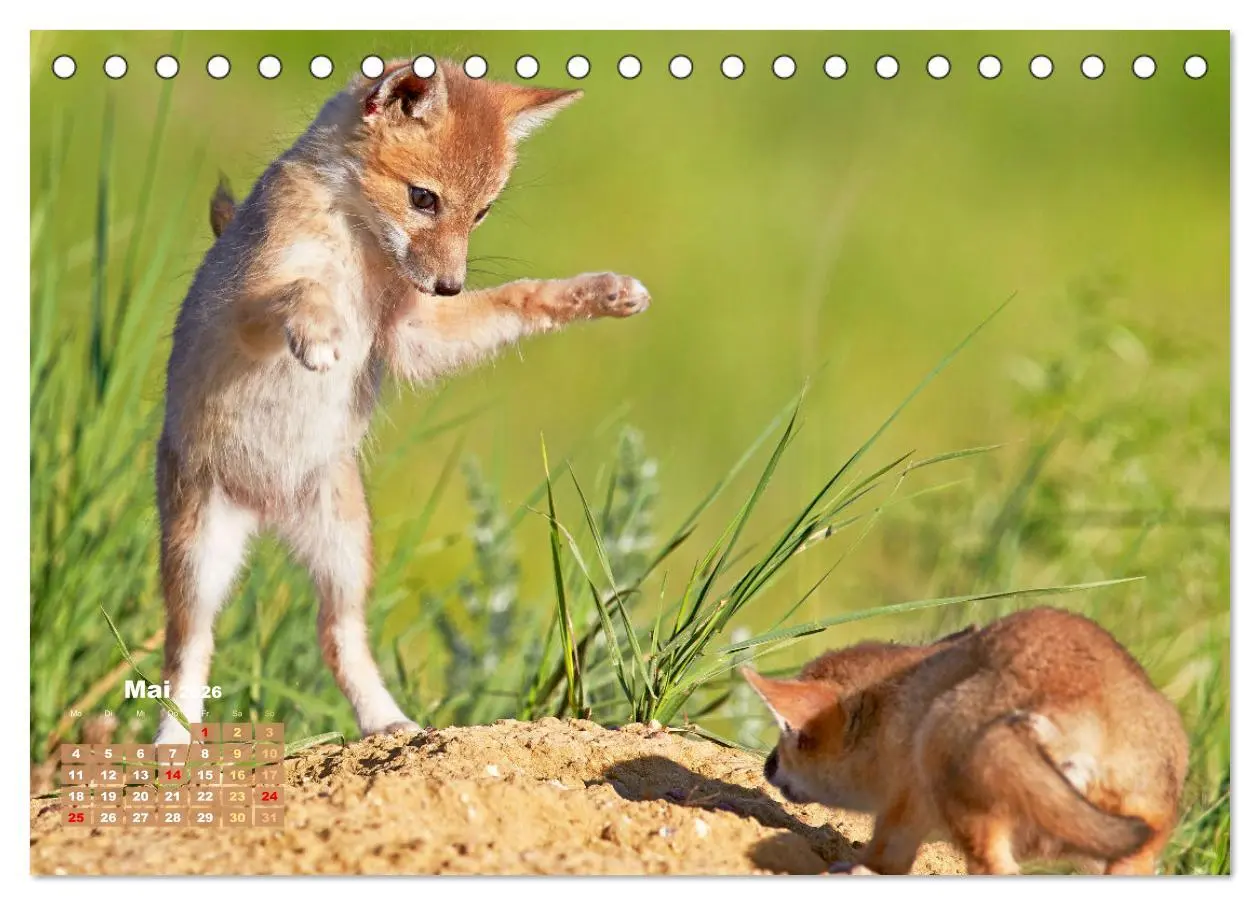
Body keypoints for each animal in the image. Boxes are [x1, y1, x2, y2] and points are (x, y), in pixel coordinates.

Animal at [154, 57, 650, 745]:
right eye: (424, 198)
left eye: (481, 213)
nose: (449, 285)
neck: (356, 248)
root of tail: (266, 509)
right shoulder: (243, 309)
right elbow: (302, 289)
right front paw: (319, 330)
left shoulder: (413, 336)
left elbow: (517, 296)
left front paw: (600, 292)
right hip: (199, 563)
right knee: (188, 653)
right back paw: (170, 746)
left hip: (342, 554)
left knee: (336, 641)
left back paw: (388, 723)